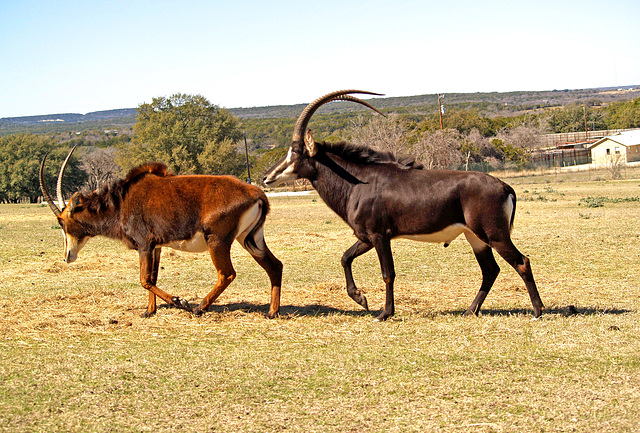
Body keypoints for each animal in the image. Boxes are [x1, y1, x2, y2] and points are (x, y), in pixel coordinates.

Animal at [38, 147, 282, 318]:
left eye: (61, 222)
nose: (67, 256)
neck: (122, 202)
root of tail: (258, 194)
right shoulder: (156, 247)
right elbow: (152, 277)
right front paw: (150, 311)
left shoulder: (144, 244)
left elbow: (144, 280)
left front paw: (178, 301)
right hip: (250, 239)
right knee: (274, 265)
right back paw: (272, 312)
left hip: (218, 241)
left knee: (227, 274)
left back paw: (199, 308)